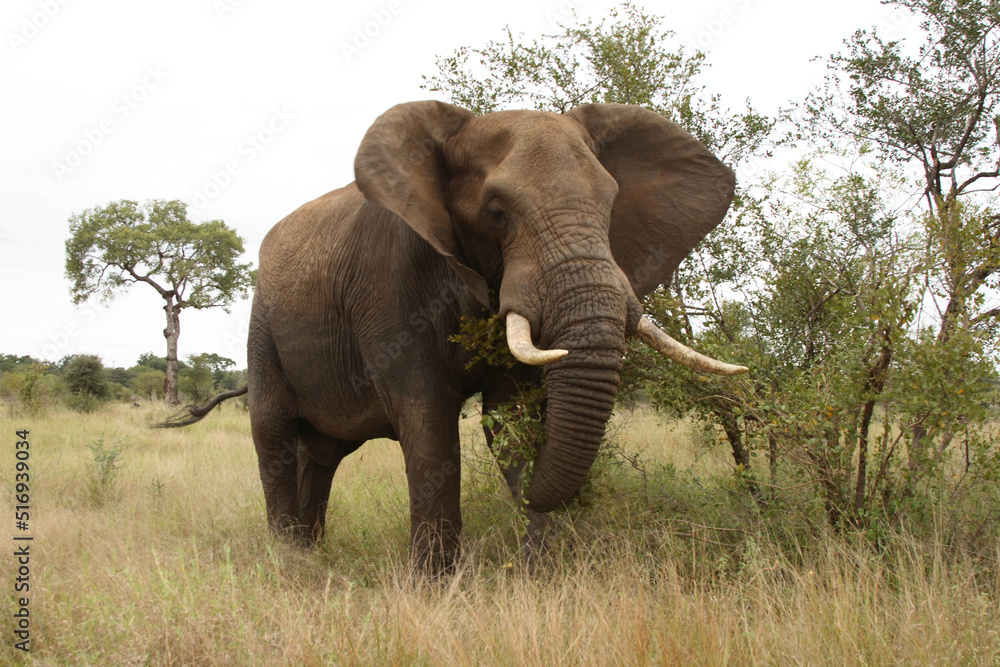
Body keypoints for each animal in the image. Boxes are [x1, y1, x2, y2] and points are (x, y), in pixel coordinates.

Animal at [165, 101, 746, 572]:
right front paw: (434, 587)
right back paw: (289, 562)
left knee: (322, 454)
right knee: (273, 435)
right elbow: (426, 420)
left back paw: (310, 553)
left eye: (610, 207)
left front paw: (541, 574)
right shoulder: (388, 283)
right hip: (263, 325)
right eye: (497, 213)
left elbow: (508, 417)